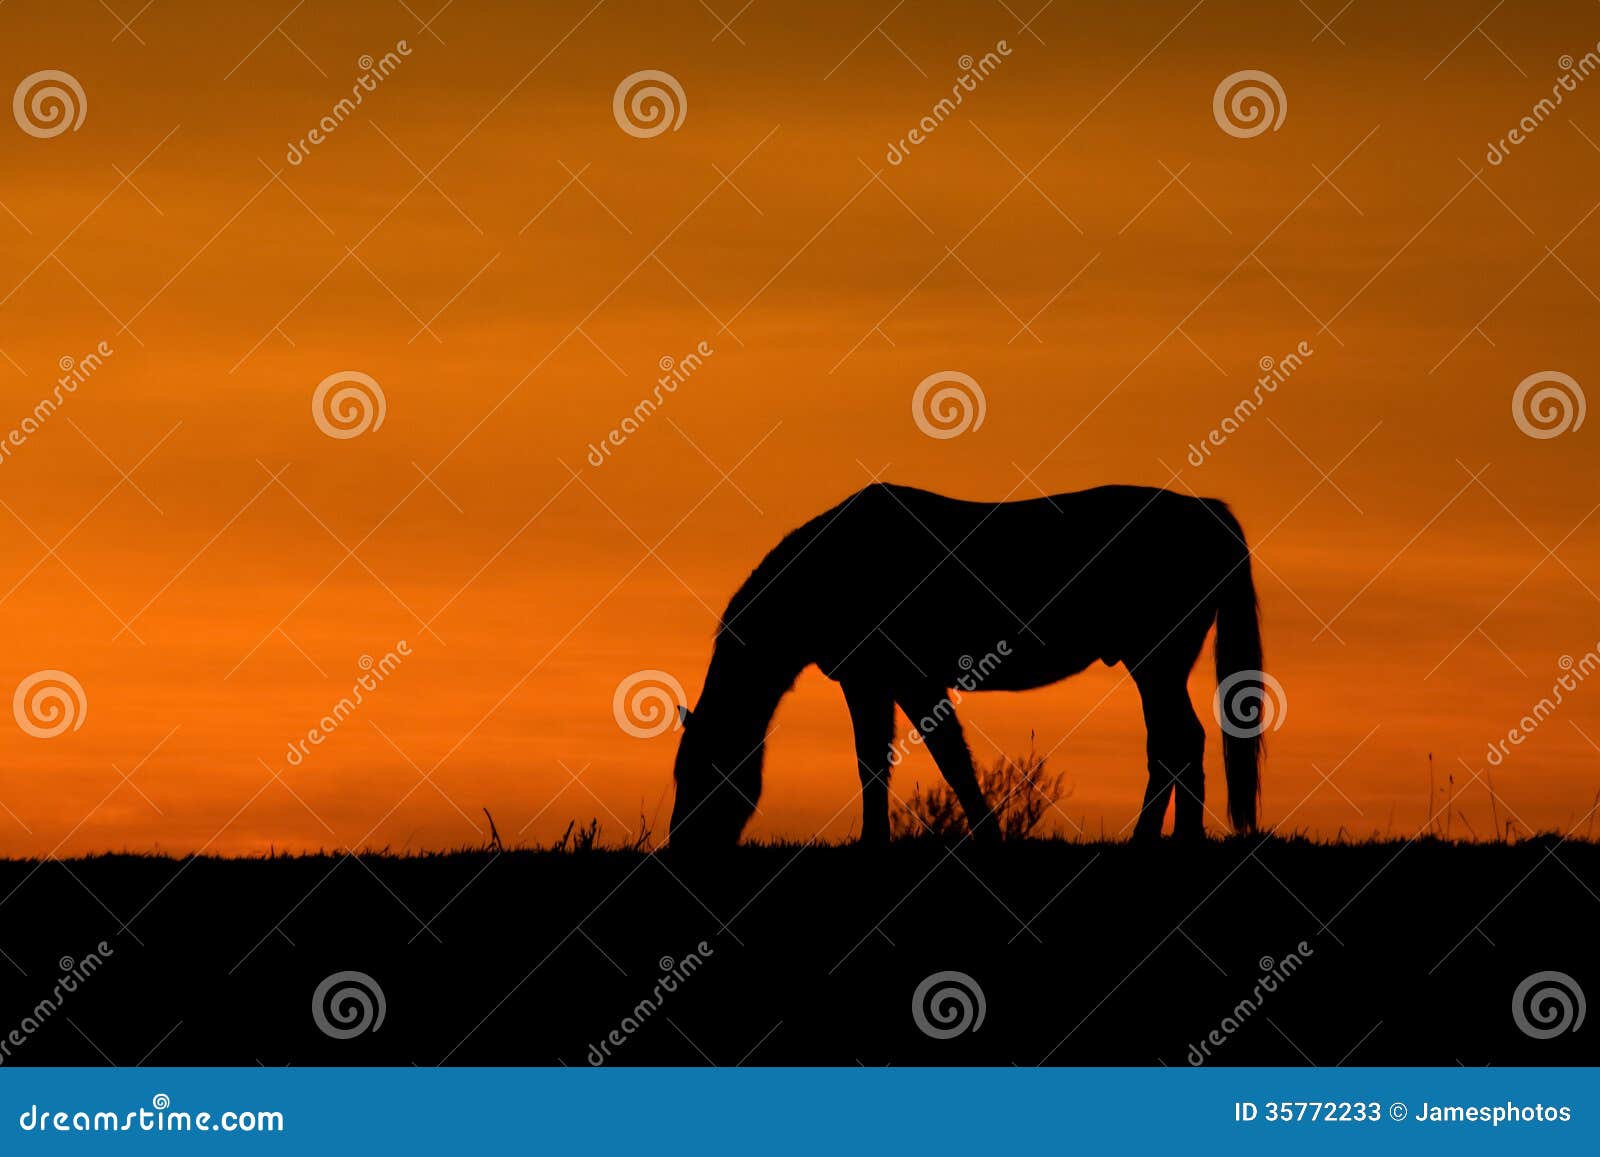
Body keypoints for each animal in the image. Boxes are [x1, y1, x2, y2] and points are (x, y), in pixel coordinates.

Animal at [667, 482, 1264, 849]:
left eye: (701, 771)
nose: (683, 848)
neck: (832, 569)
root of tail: (1208, 510)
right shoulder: (876, 683)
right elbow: (885, 761)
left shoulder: (905, 681)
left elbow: (943, 759)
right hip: (1160, 666)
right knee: (1179, 743)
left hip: (1157, 662)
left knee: (1177, 742)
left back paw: (1161, 841)